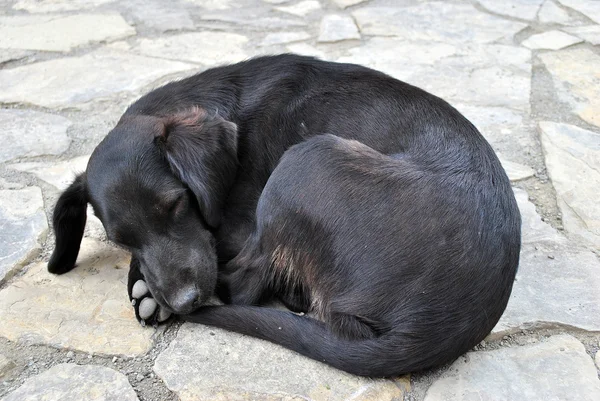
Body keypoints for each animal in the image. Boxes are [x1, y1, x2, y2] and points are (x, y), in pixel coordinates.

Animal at [47, 54, 520, 376]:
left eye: (178, 204)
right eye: (122, 240)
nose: (184, 302)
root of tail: (428, 329)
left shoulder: (235, 225)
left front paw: (145, 288)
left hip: (304, 160)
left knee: (244, 287)